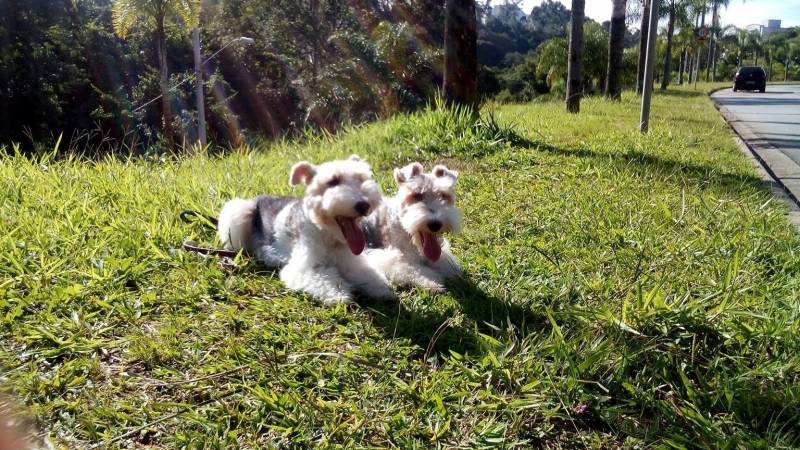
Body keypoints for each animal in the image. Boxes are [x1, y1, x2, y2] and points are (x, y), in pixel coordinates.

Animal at [219, 156, 394, 306]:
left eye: (361, 178)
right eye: (333, 181)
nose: (364, 205)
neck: (327, 235)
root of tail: (258, 198)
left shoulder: (352, 262)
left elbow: (368, 275)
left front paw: (381, 289)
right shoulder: (303, 269)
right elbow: (327, 280)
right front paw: (339, 295)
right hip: (238, 213)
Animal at [362, 162, 462, 292]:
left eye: (443, 195)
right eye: (417, 195)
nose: (435, 224)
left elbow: (444, 261)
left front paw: (453, 272)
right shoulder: (391, 258)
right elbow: (413, 270)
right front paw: (434, 282)